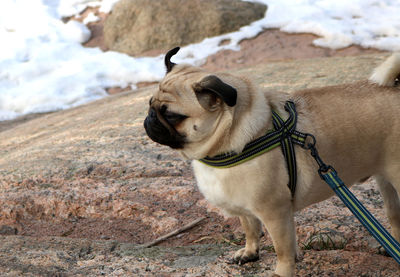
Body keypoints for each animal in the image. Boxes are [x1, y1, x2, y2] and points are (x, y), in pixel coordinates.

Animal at [144, 46, 400, 274]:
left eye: (172, 116)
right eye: (149, 104)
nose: (149, 119)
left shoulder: (275, 213)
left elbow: (282, 250)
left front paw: (282, 272)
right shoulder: (246, 209)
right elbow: (250, 230)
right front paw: (250, 253)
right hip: (386, 185)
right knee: (394, 216)